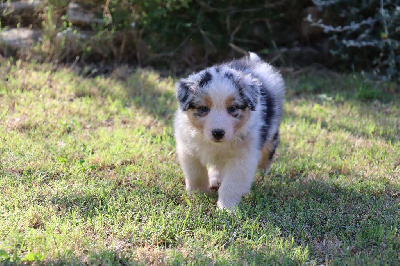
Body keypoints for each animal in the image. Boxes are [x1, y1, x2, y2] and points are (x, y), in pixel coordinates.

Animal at [173, 52, 284, 210]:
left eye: (232, 108)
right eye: (203, 108)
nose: (218, 133)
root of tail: (255, 62)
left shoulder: (242, 158)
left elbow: (231, 185)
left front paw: (226, 209)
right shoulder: (188, 150)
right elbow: (196, 174)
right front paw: (198, 197)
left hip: (271, 132)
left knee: (268, 152)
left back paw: (263, 174)